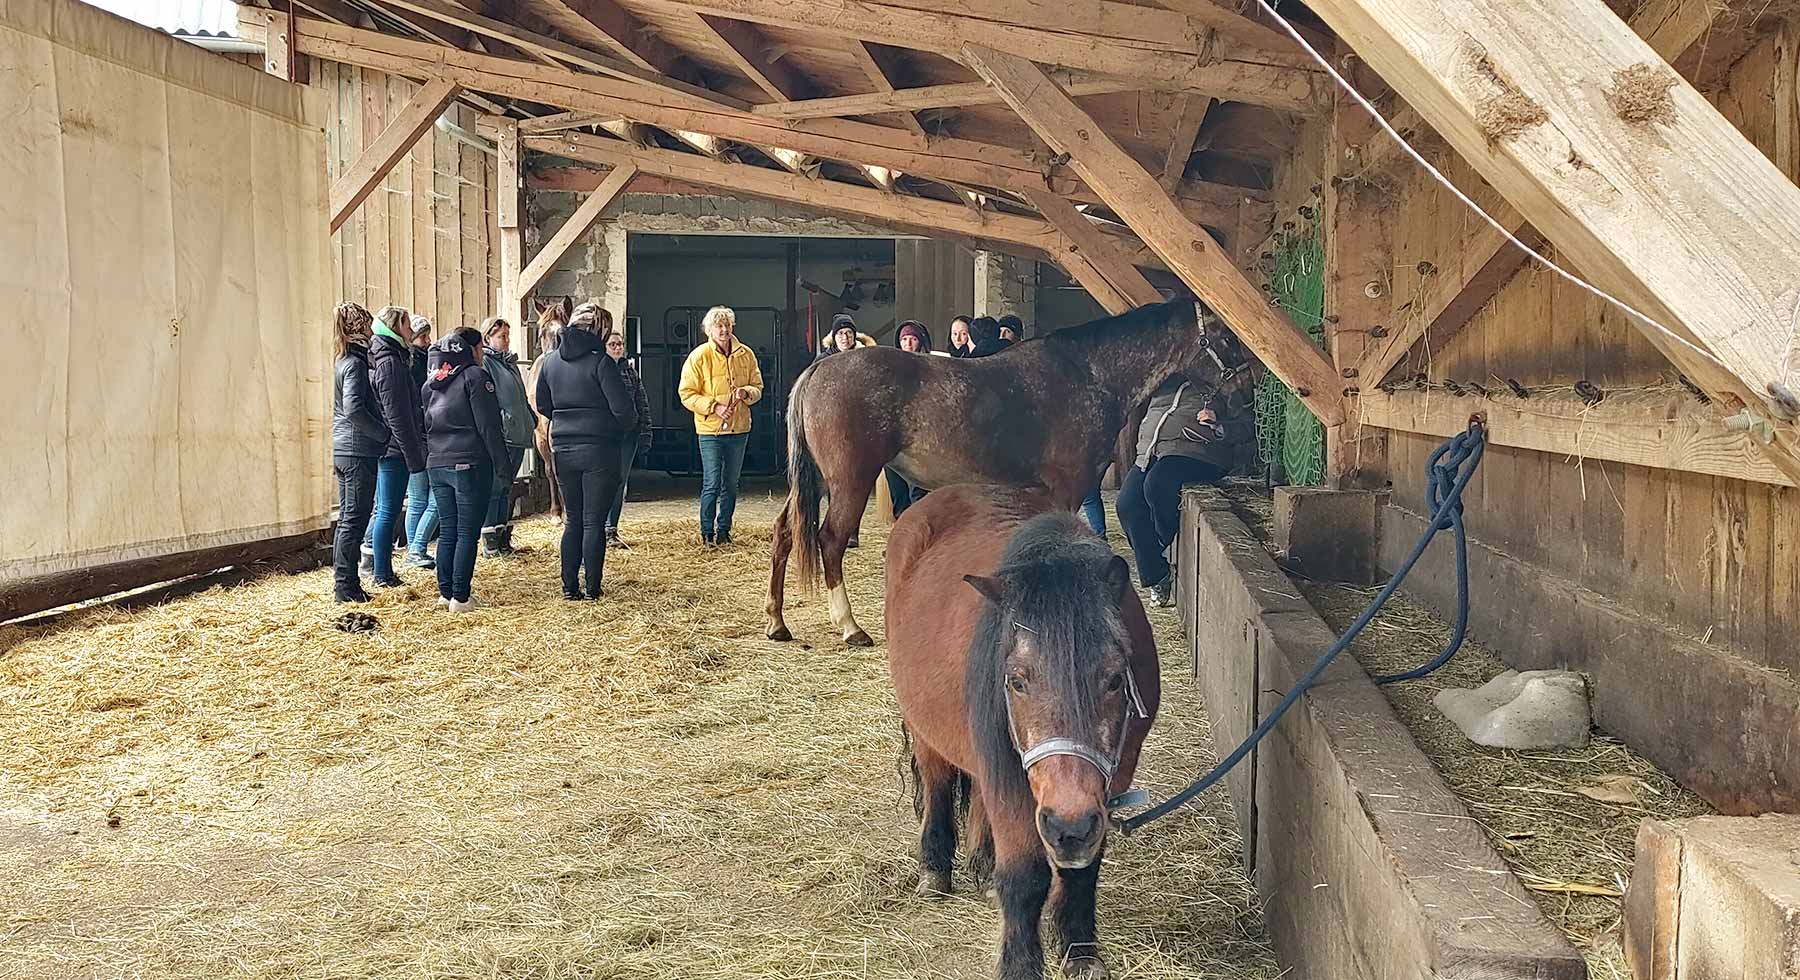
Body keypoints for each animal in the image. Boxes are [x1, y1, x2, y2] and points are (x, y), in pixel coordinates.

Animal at [766, 299, 1245, 652]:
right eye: (1226, 339)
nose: (1244, 393)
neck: (1088, 375)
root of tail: (819, 369)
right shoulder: (1065, 488)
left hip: (819, 479)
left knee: (785, 531)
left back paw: (777, 622)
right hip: (849, 479)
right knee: (829, 539)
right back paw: (850, 627)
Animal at [882, 486, 1159, 980]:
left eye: (1114, 679)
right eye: (1017, 680)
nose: (1068, 825)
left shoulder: (1107, 785)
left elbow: (1082, 870)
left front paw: (1080, 953)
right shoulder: (1009, 779)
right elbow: (1025, 875)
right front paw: (1020, 964)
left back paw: (982, 864)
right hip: (925, 728)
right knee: (937, 782)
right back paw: (935, 869)